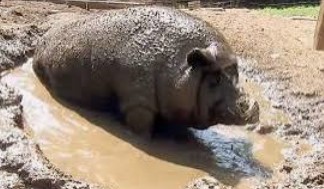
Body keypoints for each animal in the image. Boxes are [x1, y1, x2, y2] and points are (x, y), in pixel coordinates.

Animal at [33, 6, 260, 137]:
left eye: (237, 74)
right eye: (215, 80)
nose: (252, 109)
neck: (178, 66)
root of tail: (41, 41)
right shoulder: (137, 101)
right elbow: (142, 127)